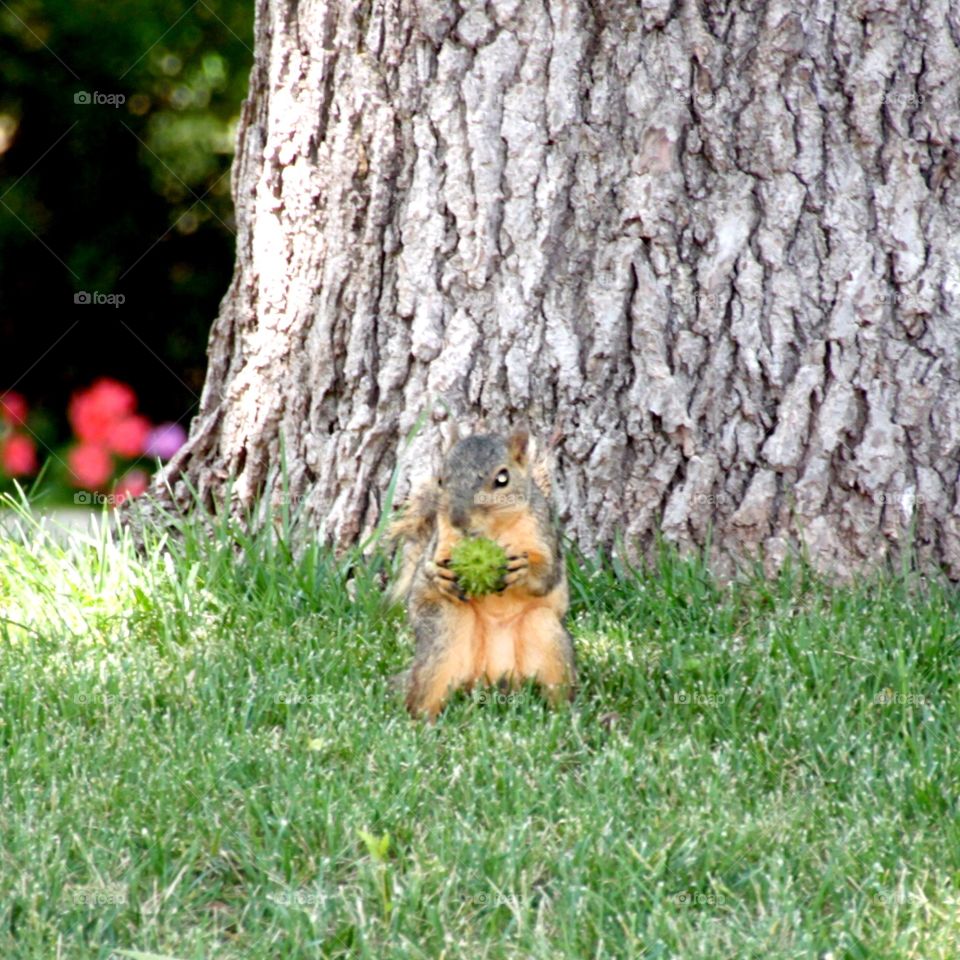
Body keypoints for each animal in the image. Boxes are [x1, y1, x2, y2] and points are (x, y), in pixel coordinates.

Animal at [388, 427, 576, 720]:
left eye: (502, 478)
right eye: (441, 479)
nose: (458, 520)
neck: (493, 532)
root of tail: (490, 676)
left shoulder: (544, 538)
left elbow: (548, 573)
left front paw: (523, 571)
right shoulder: (442, 540)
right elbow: (428, 567)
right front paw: (438, 576)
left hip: (545, 631)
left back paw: (563, 717)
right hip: (445, 629)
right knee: (424, 691)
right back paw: (422, 722)